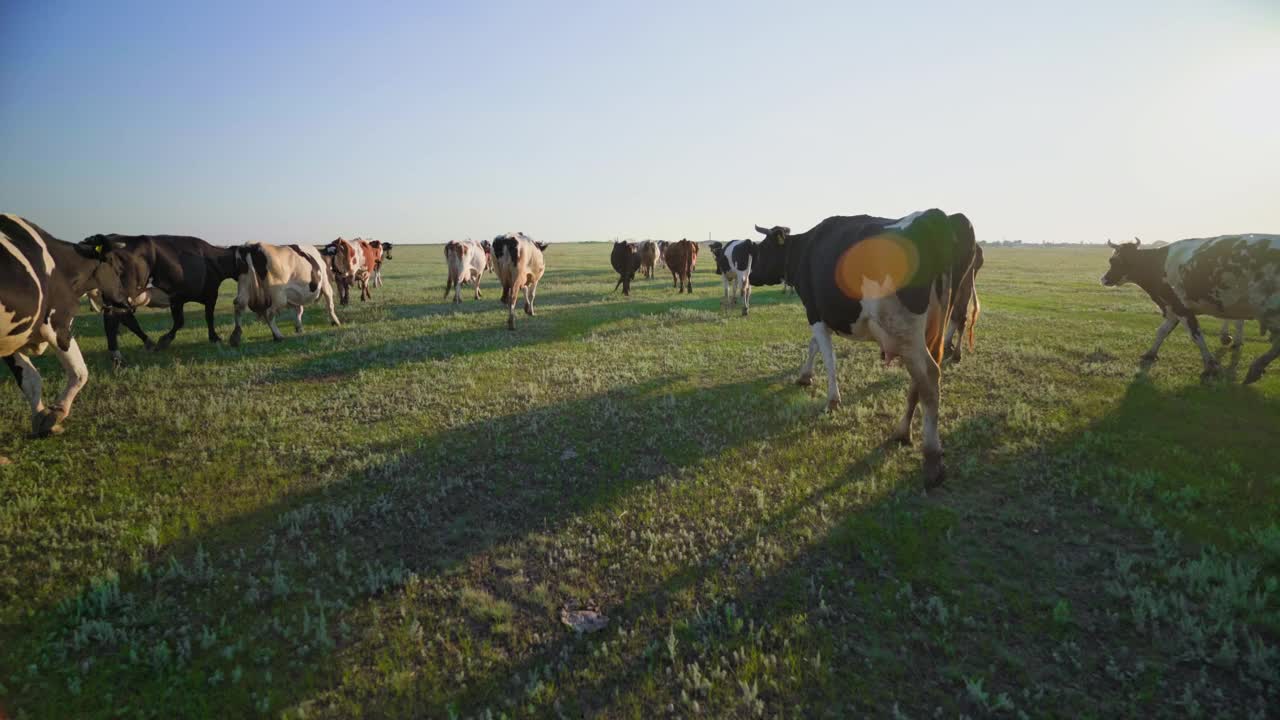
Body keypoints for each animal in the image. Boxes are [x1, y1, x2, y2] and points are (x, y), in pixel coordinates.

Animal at [1, 212, 133, 438]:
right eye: (117, 268)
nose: (126, 302)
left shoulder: (14, 338)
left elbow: (30, 379)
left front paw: (41, 418)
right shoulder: (57, 325)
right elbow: (80, 372)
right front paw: (56, 414)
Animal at [90, 233, 241, 363]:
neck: (213, 259)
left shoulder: (177, 299)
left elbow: (182, 321)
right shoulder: (206, 295)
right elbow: (202, 318)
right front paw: (214, 337)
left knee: (122, 317)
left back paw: (146, 344)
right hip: (126, 292)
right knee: (114, 317)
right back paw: (118, 357)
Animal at [747, 210, 977, 484]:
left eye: (762, 248)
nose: (750, 276)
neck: (804, 249)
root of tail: (936, 216)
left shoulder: (814, 312)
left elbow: (828, 357)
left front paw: (832, 399)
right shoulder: (821, 315)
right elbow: (814, 346)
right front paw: (805, 376)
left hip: (905, 332)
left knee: (929, 377)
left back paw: (932, 459)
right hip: (934, 326)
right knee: (921, 379)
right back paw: (903, 431)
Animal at [1100, 234, 1280, 381]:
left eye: (1116, 261)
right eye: (1111, 260)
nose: (1104, 279)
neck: (1158, 264)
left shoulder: (1180, 307)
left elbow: (1196, 335)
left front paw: (1210, 366)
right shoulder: (1172, 308)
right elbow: (1162, 331)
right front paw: (1150, 354)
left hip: (1270, 312)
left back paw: (1255, 367)